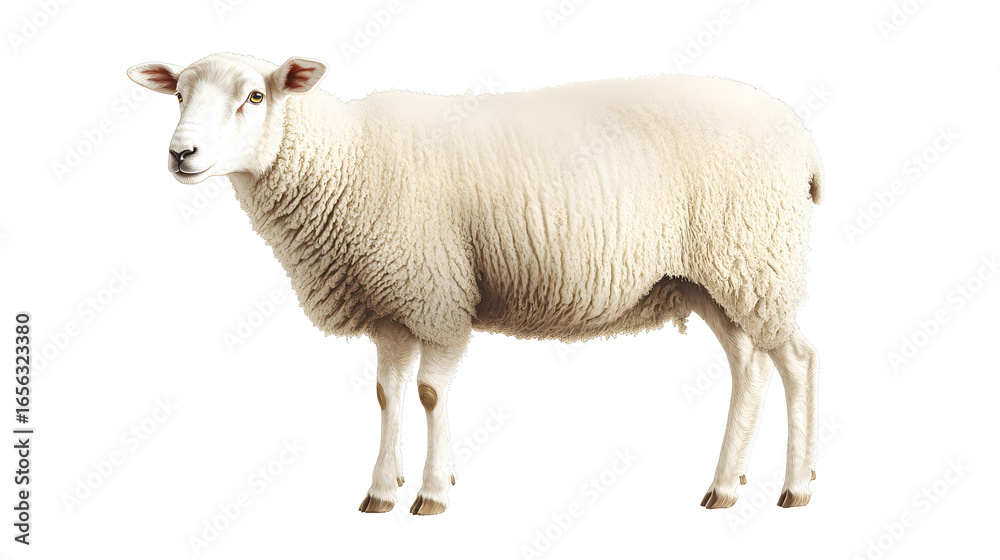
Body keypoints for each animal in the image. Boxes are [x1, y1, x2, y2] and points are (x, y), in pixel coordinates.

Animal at [127, 52, 823, 514]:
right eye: (178, 94)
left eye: (254, 96)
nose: (181, 154)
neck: (346, 158)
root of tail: (801, 136)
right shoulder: (392, 303)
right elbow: (387, 395)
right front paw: (381, 489)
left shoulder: (434, 293)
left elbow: (431, 394)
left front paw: (432, 493)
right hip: (720, 275)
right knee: (749, 367)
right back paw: (726, 486)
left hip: (757, 254)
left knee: (796, 361)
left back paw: (795, 486)